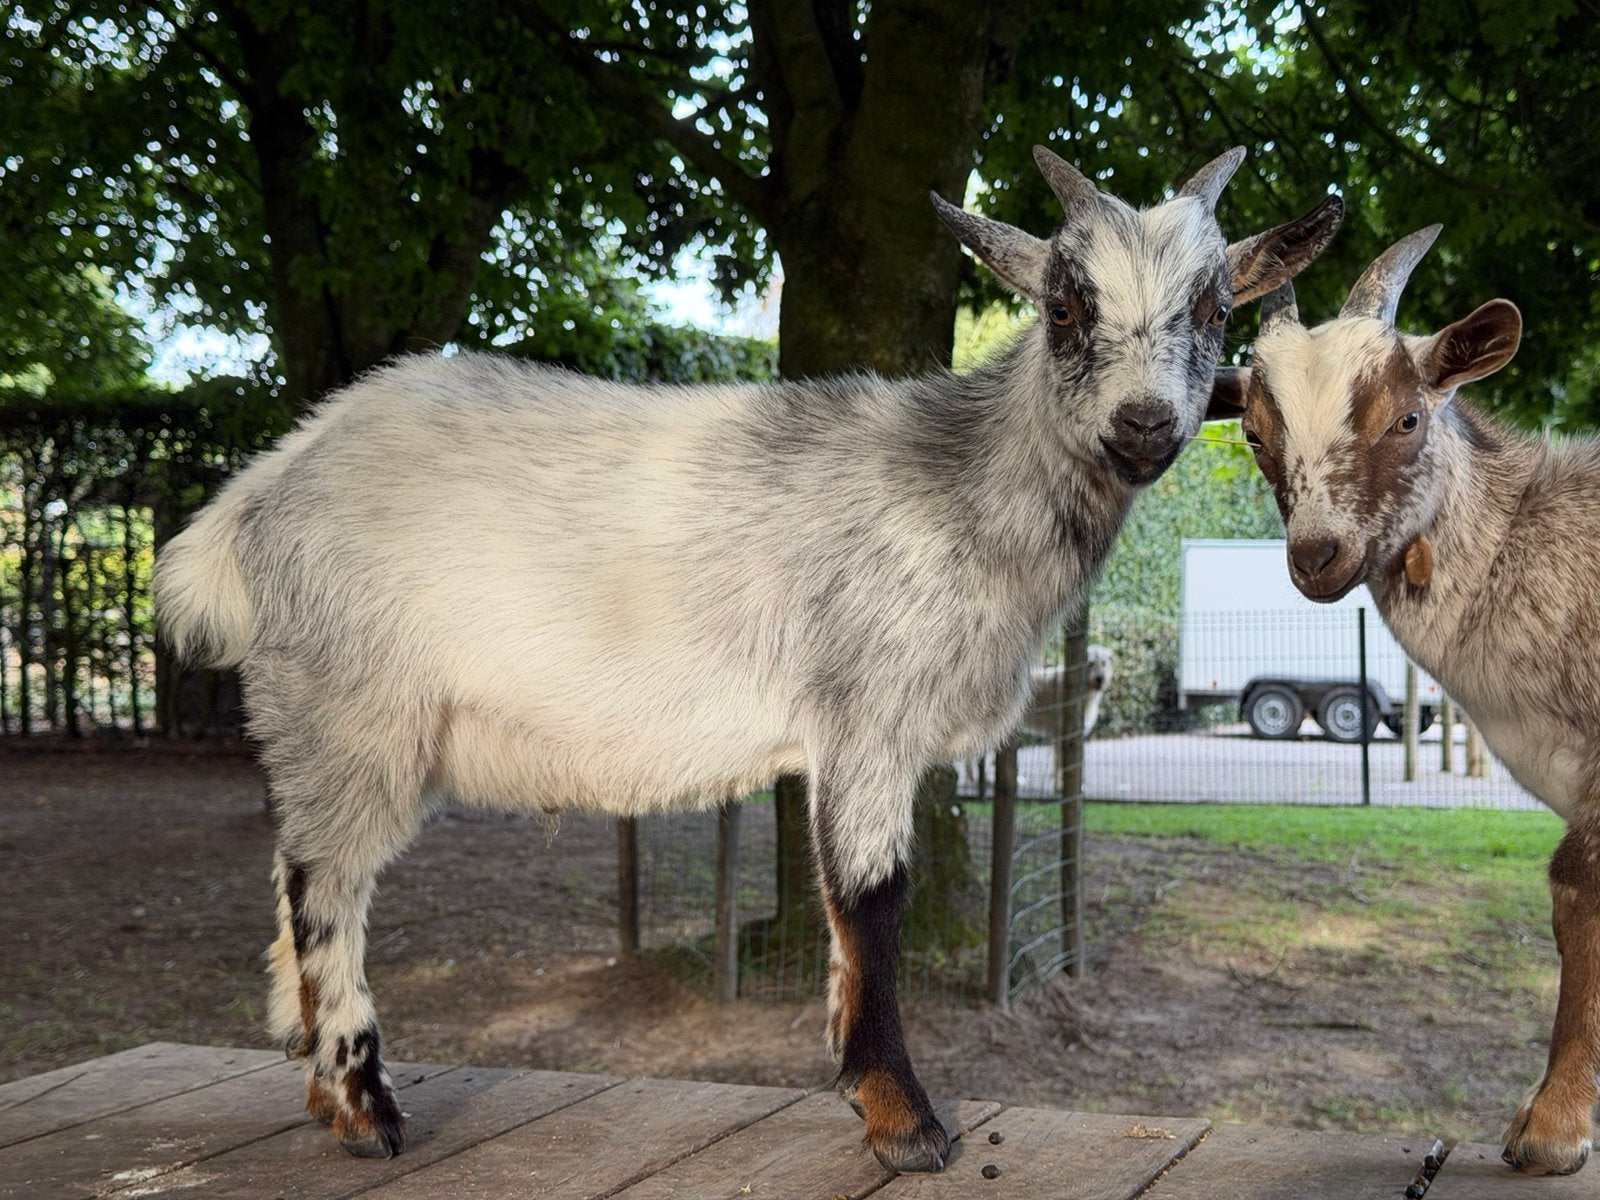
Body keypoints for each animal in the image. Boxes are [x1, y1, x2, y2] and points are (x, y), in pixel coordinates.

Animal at [153, 145, 1342, 1173]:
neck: (961, 483)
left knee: (293, 866)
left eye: (1213, 307)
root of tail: (258, 495)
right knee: (324, 883)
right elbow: (872, 900)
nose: (1143, 425)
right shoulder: (867, 710)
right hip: (352, 702)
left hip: (321, 715)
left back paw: (316, 1081)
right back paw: (361, 1106)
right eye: (1062, 306)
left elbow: (845, 916)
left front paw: (860, 1086)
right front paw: (904, 1119)